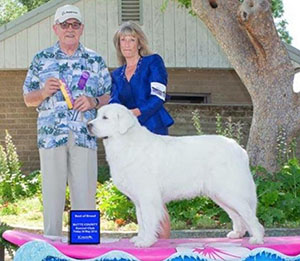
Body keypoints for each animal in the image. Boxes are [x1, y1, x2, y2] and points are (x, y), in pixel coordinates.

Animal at [88, 103, 264, 246]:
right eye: (97, 115)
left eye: (105, 117)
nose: (88, 125)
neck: (126, 142)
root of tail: (238, 148)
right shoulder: (138, 200)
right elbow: (141, 221)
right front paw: (140, 238)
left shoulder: (147, 197)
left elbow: (148, 220)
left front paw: (146, 242)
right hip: (221, 195)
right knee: (237, 215)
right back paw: (237, 234)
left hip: (230, 192)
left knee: (249, 215)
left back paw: (257, 238)